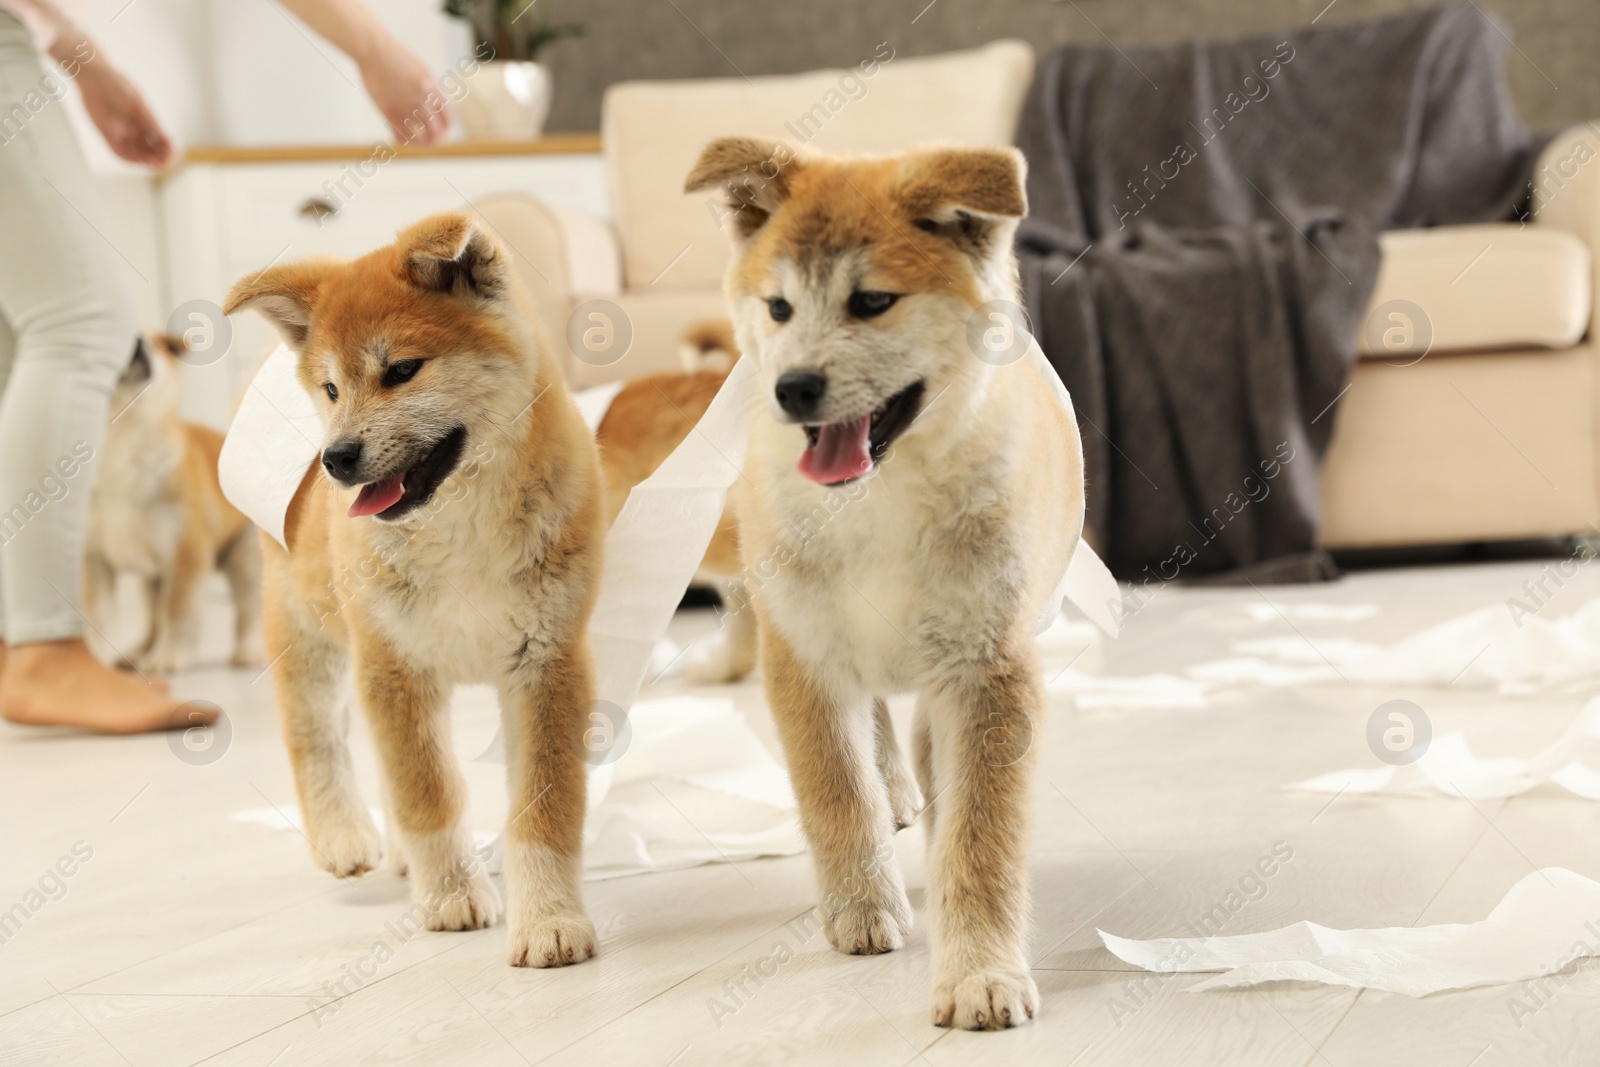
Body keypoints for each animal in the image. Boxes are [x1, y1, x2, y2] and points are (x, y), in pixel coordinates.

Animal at [88, 334, 264, 671]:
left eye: (160, 345)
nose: (138, 341)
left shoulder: (186, 553)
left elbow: (178, 612)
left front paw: (168, 656)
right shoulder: (95, 560)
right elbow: (99, 617)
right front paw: (93, 658)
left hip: (245, 560)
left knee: (249, 610)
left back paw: (249, 650)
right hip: (151, 579)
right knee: (153, 619)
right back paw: (138, 651)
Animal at [224, 212, 601, 966]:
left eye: (400, 371)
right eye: (332, 389)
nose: (336, 459)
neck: (460, 529)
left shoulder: (547, 663)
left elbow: (544, 808)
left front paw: (549, 920)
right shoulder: (395, 665)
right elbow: (428, 793)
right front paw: (452, 895)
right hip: (308, 629)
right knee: (315, 734)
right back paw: (343, 835)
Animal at [681, 137, 1081, 1030]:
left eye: (871, 302)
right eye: (779, 307)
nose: (793, 389)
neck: (880, 506)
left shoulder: (985, 668)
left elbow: (980, 831)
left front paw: (980, 971)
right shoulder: (803, 653)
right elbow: (837, 791)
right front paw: (864, 907)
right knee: (876, 736)